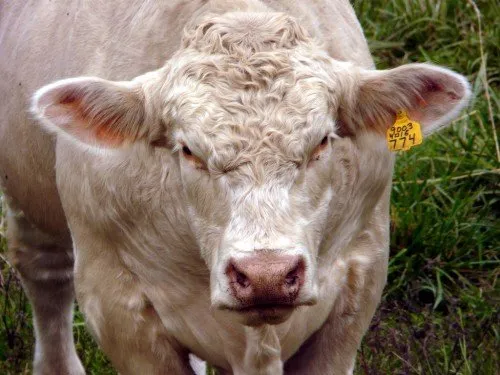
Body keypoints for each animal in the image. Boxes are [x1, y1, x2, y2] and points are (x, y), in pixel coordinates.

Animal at [0, 0, 468, 375]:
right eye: (188, 150)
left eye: (322, 141)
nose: (267, 276)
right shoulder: (113, 300)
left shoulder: (359, 278)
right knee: (44, 274)